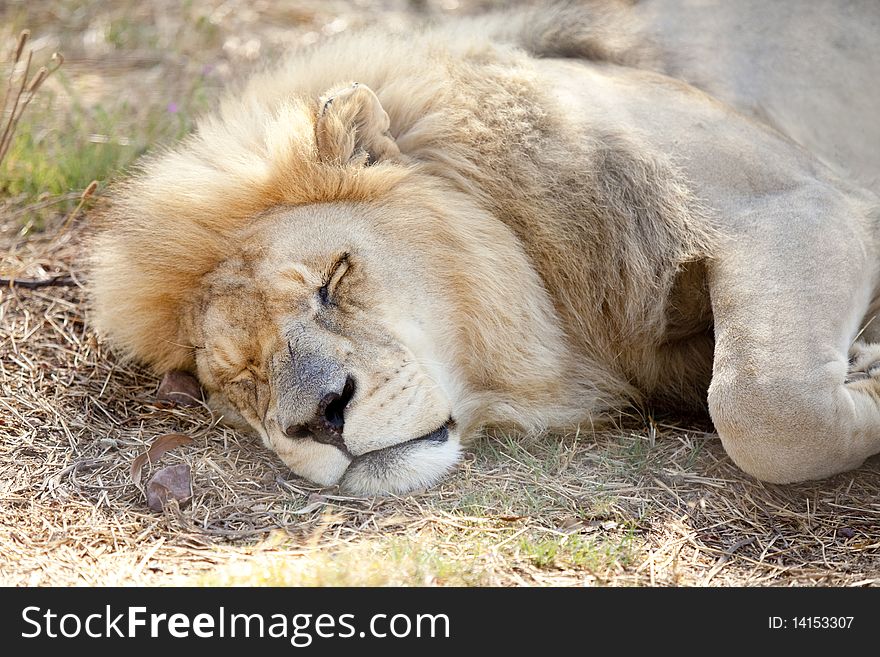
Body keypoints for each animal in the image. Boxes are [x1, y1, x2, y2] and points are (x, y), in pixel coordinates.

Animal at [87, 0, 880, 492]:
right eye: (238, 377)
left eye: (334, 279)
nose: (321, 418)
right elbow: (763, 407)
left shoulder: (799, 201)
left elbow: (763, 405)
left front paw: (868, 372)